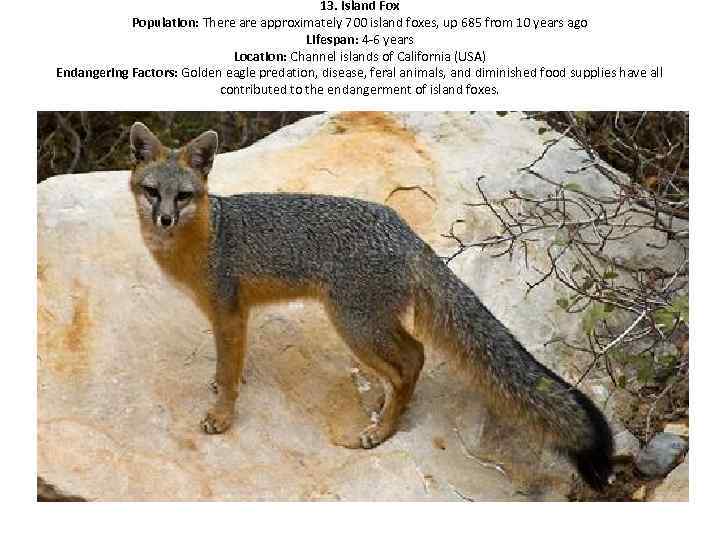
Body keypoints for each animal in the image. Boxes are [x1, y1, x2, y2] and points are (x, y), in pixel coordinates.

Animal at [128, 122, 614, 490]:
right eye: (152, 191)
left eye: (183, 196)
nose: (164, 219)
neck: (205, 239)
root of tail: (408, 234)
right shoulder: (227, 316)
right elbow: (224, 365)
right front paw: (216, 387)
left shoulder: (230, 312)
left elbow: (230, 372)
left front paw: (221, 416)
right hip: (368, 324)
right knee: (409, 359)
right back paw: (385, 405)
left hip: (354, 324)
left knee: (412, 357)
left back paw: (382, 431)